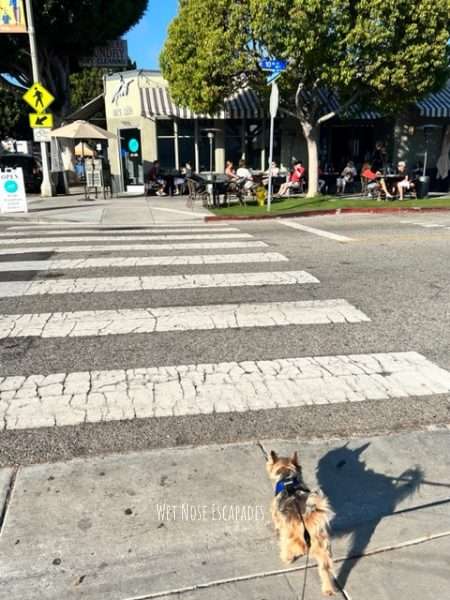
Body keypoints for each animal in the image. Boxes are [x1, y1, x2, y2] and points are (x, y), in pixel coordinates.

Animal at [266, 450, 336, 596]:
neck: (287, 478)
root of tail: (306, 523)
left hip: (291, 538)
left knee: (289, 548)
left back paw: (286, 558)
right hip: (323, 547)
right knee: (325, 568)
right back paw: (328, 589)